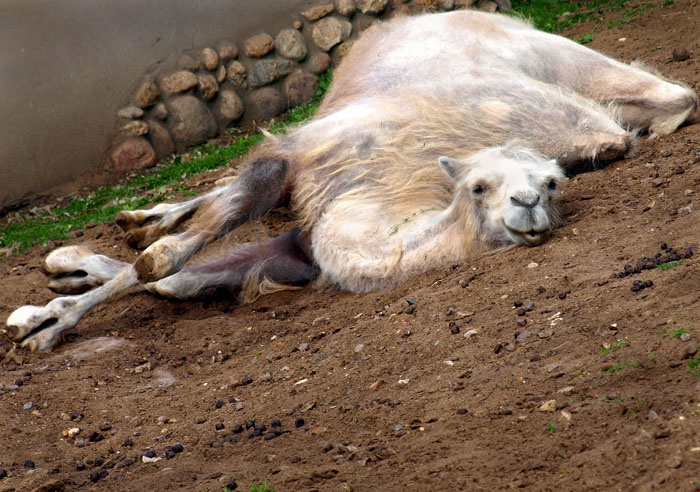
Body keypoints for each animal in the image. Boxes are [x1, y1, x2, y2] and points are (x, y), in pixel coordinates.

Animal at [6, 10, 697, 351]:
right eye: (478, 187)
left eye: (554, 184)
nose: (525, 207)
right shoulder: (304, 159)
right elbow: (166, 262)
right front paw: (42, 318)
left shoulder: (306, 236)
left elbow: (176, 276)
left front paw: (49, 311)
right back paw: (126, 227)